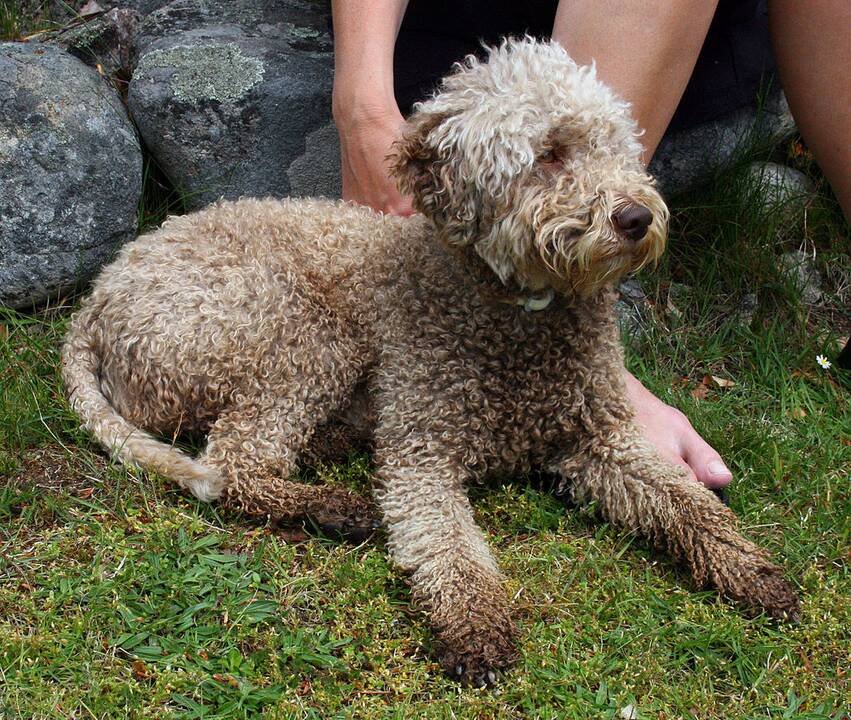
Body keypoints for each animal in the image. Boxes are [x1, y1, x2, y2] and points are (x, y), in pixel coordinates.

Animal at [63, 39, 804, 688]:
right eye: (548, 154)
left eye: (618, 147)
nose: (636, 218)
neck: (515, 315)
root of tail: (97, 301)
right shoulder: (421, 453)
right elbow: (450, 552)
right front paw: (477, 632)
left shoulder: (602, 437)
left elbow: (690, 506)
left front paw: (752, 571)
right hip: (306, 334)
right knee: (233, 464)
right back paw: (333, 506)